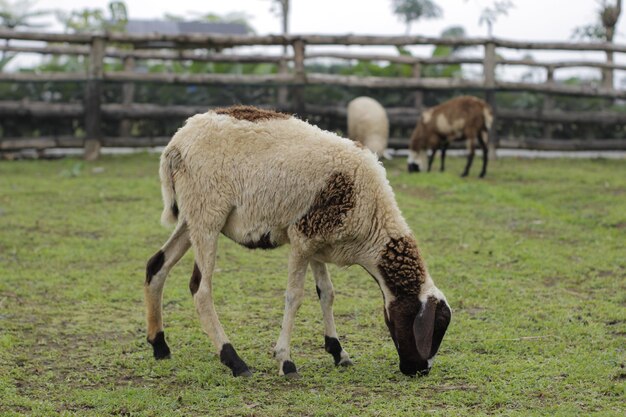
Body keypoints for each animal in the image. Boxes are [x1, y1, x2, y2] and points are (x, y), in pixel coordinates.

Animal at [144, 104, 450, 376]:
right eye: (432, 329)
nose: (420, 370)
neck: (372, 220)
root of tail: (176, 143)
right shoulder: (302, 239)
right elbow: (294, 297)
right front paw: (286, 361)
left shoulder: (317, 240)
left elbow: (327, 293)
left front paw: (338, 352)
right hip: (207, 214)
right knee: (200, 290)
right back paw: (235, 361)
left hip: (191, 217)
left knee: (156, 265)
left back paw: (159, 346)